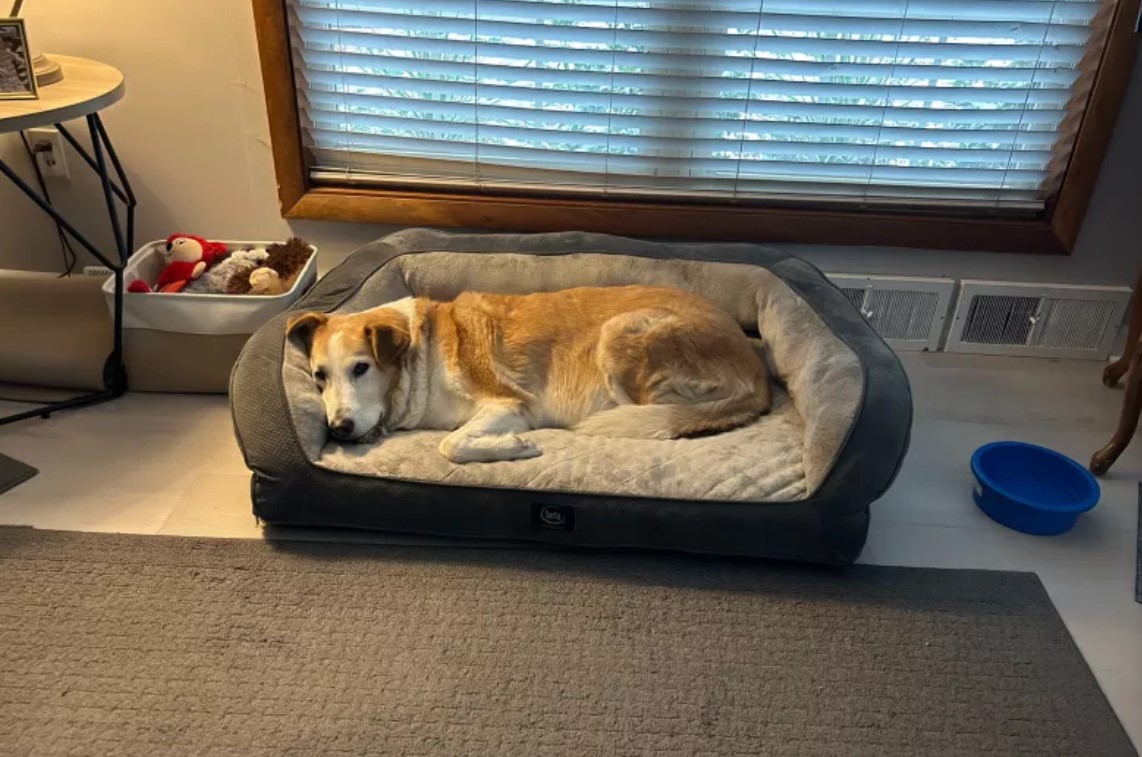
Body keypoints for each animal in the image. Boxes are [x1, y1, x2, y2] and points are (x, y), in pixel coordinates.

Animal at [285, 284, 771, 461]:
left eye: (361, 368)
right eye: (318, 377)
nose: (339, 428)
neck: (421, 353)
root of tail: (759, 374)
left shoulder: (510, 403)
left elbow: (450, 443)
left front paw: (514, 448)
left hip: (619, 336)